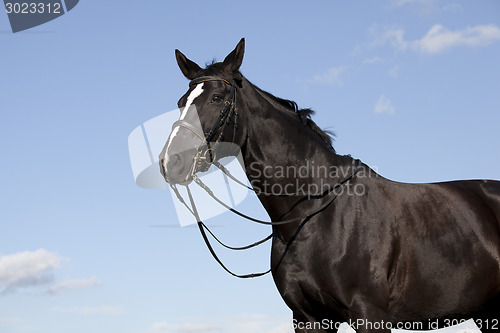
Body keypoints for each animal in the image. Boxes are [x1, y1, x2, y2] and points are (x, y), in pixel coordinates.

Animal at [159, 38, 500, 330]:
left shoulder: (369, 316)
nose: (170, 162)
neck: (316, 214)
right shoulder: (308, 319)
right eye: (180, 102)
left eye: (217, 98)